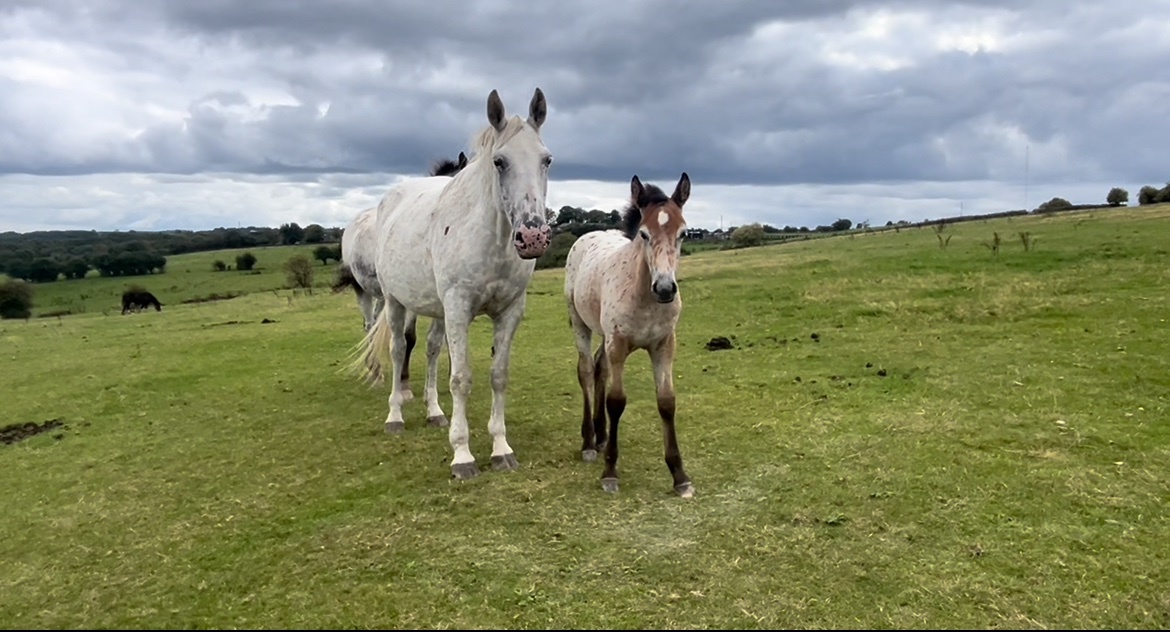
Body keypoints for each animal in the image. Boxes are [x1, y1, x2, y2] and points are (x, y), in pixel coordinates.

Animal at [333, 151, 467, 389]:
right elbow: (409, 336)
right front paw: (403, 380)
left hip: (383, 296)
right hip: (363, 291)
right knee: (368, 326)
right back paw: (375, 371)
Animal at [356, 87, 553, 480]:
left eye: (547, 160)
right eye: (499, 162)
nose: (533, 236)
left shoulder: (510, 312)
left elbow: (498, 375)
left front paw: (501, 449)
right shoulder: (459, 309)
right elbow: (461, 378)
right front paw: (462, 455)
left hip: (437, 311)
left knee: (431, 351)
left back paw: (434, 412)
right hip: (395, 301)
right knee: (398, 350)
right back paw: (395, 416)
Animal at [563, 172, 694, 497]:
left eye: (683, 233)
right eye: (644, 234)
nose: (665, 289)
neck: (644, 296)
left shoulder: (664, 345)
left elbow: (666, 402)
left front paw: (680, 476)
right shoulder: (619, 345)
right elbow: (617, 401)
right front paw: (610, 472)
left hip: (605, 336)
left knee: (600, 367)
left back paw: (600, 435)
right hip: (581, 323)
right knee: (587, 370)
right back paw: (589, 443)